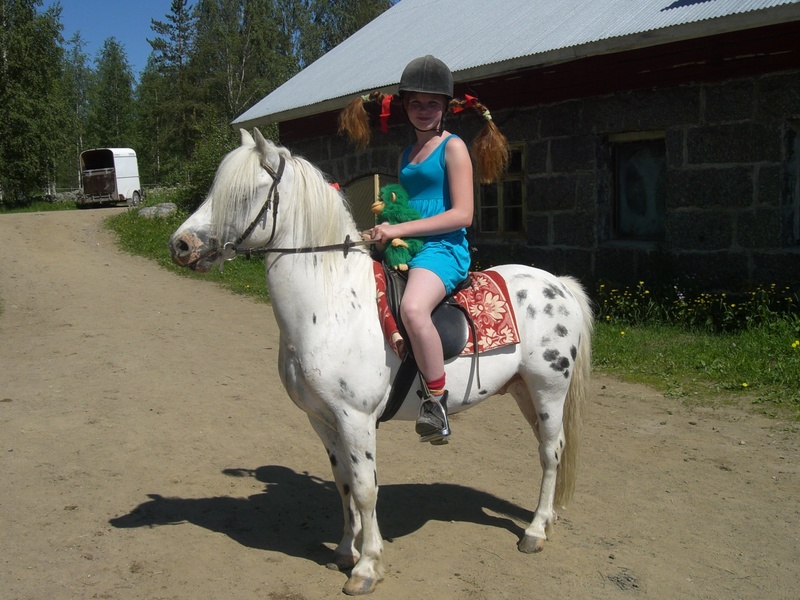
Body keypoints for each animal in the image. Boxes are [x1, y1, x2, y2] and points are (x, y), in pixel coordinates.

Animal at [169, 128, 593, 596]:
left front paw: (367, 567)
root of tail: (559, 284)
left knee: (550, 452)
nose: (181, 245)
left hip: (548, 389)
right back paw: (546, 520)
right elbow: (342, 485)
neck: (330, 306)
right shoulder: (321, 419)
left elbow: (366, 489)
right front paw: (343, 550)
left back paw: (534, 532)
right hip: (521, 390)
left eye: (245, 193)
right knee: (550, 448)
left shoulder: (356, 418)